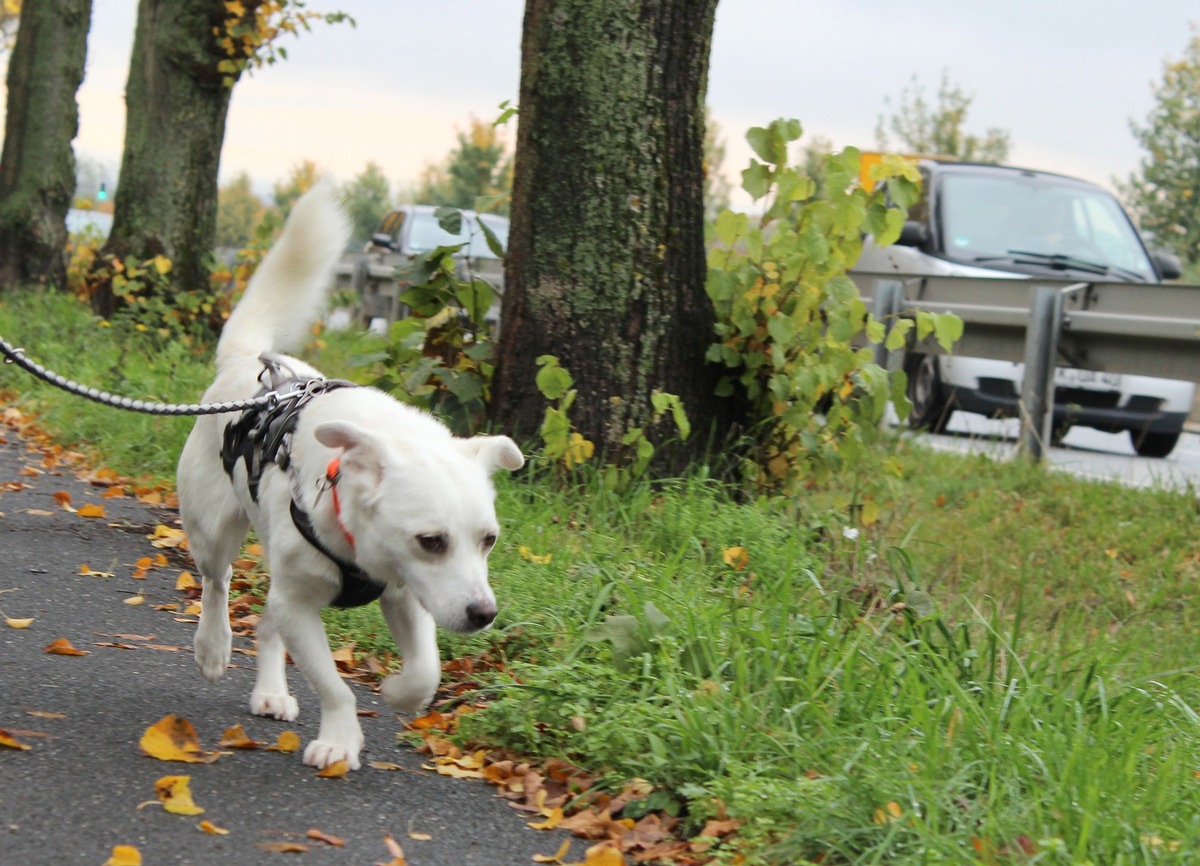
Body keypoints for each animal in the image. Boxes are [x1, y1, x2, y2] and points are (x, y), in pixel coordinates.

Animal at [175, 178, 523, 767]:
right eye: (432, 541)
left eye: (489, 540)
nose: (484, 613)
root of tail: (249, 365)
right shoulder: (299, 605)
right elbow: (334, 685)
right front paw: (339, 740)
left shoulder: (405, 595)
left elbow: (425, 670)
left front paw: (400, 693)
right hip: (213, 530)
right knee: (217, 582)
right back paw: (214, 646)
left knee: (264, 623)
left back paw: (271, 692)